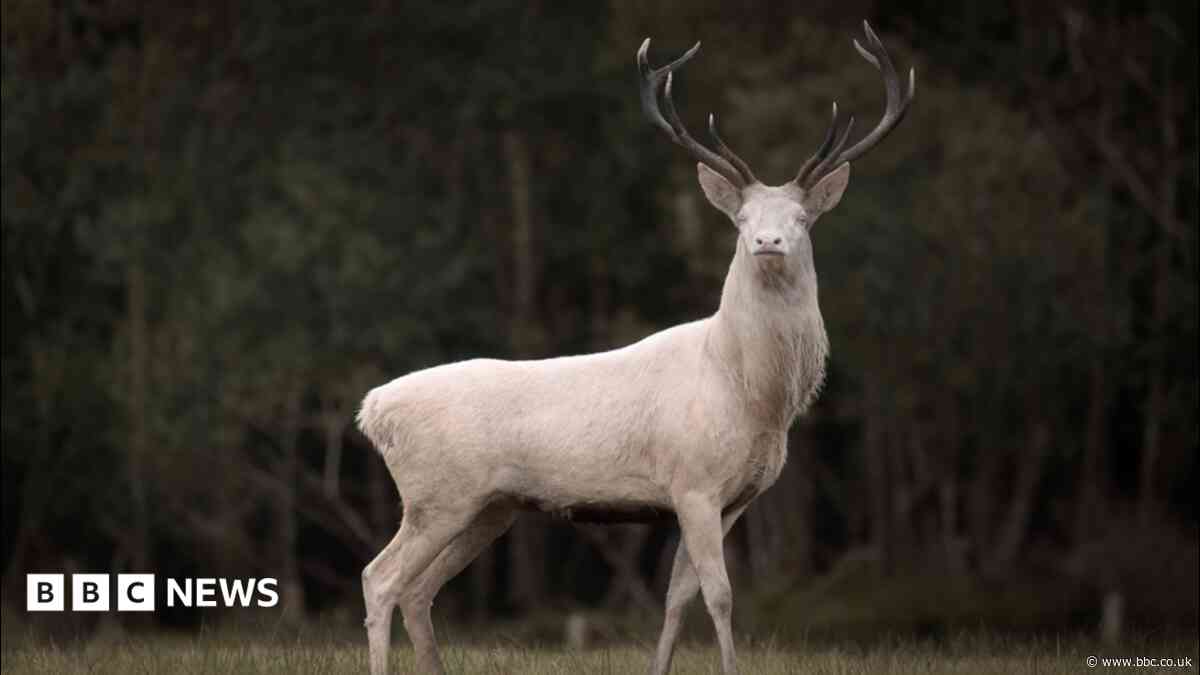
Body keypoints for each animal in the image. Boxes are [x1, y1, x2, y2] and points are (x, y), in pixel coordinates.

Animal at [357, 20, 914, 675]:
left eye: (802, 219)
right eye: (741, 219)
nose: (768, 242)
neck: (754, 395)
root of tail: (372, 411)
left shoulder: (733, 498)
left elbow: (679, 596)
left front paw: (661, 666)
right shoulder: (693, 481)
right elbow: (720, 594)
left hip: (488, 506)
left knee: (420, 590)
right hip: (436, 493)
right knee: (380, 578)